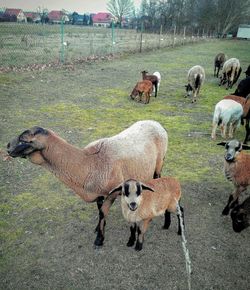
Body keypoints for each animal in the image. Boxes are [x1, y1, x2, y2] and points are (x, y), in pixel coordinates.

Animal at [7, 120, 168, 247]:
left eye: (23, 139)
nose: (7, 146)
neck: (88, 162)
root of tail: (156, 123)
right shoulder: (97, 192)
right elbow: (99, 210)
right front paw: (98, 228)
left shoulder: (112, 192)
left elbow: (102, 212)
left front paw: (99, 239)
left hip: (159, 162)